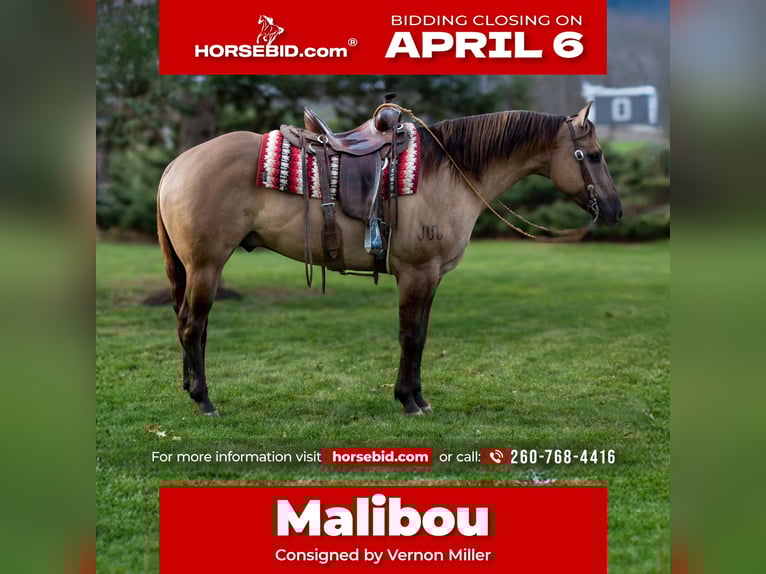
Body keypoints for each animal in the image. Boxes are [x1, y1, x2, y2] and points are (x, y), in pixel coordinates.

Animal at [157, 102, 622, 417]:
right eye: (595, 156)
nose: (615, 211)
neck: (449, 174)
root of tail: (177, 164)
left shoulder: (432, 276)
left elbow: (422, 335)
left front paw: (418, 397)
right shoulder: (418, 273)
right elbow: (410, 336)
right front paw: (408, 400)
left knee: (190, 326)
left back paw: (189, 388)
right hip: (206, 266)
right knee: (192, 326)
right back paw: (204, 400)